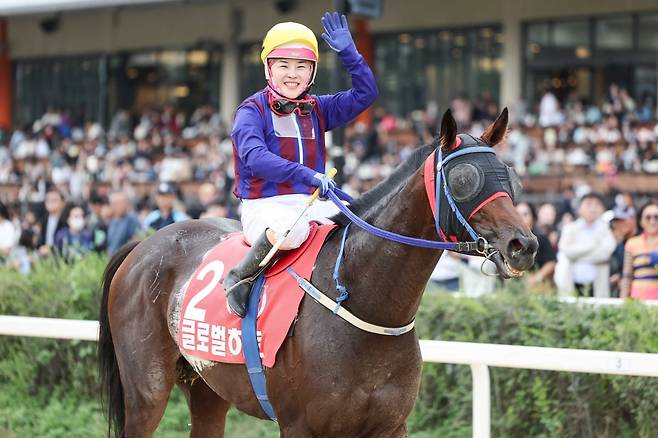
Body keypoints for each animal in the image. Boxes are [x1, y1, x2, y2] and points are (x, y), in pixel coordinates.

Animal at [98, 108, 540, 436]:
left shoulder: (390, 426)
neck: (366, 305)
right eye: (465, 180)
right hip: (147, 389)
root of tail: (143, 244)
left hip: (208, 387)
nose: (524, 245)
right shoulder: (300, 426)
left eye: (510, 177)